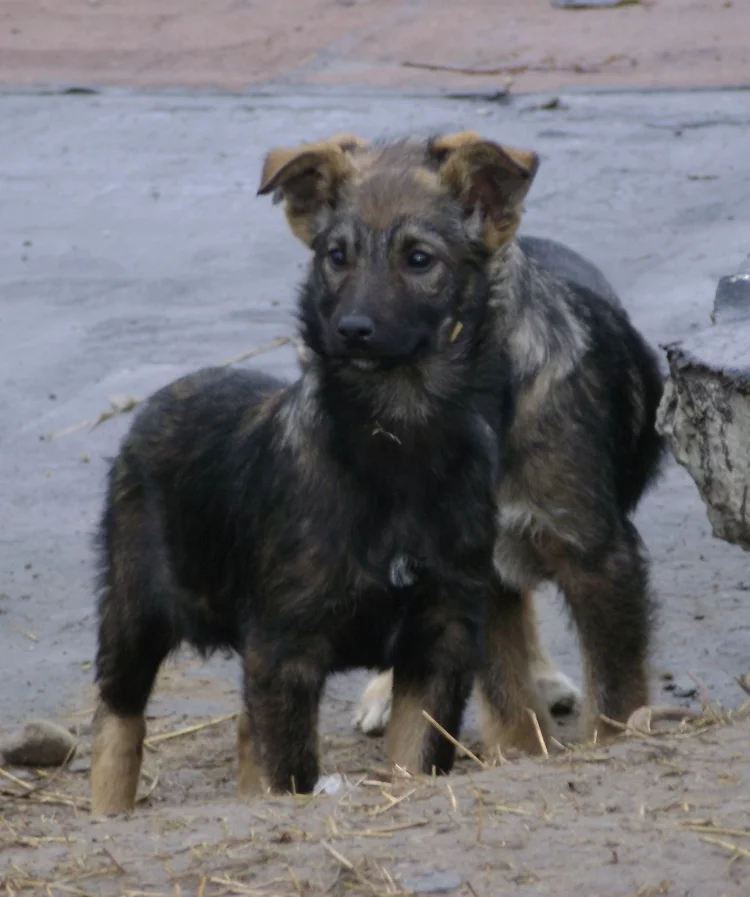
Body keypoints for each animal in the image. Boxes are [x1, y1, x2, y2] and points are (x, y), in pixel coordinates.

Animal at [266, 132, 665, 757]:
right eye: (336, 257)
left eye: (419, 259)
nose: (347, 333)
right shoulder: (467, 569)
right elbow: (504, 689)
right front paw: (520, 751)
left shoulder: (597, 554)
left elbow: (617, 690)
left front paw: (608, 739)